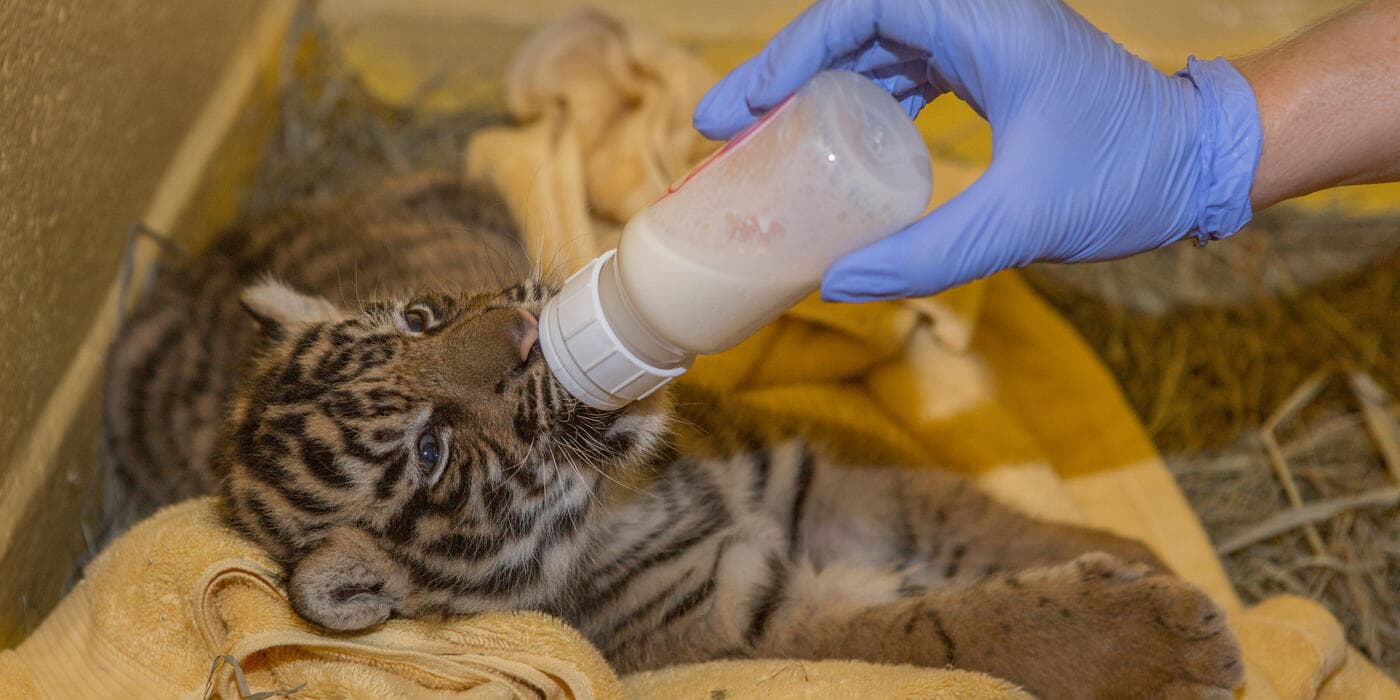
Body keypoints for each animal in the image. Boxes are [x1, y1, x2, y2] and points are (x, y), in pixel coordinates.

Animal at [105, 174, 1243, 697]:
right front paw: (1166, 638)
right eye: (431, 451)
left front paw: (1128, 554)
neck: (631, 496)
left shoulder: (808, 471)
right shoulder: (751, 624)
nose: (523, 336)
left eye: (419, 321)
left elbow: (962, 512)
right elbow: (947, 630)